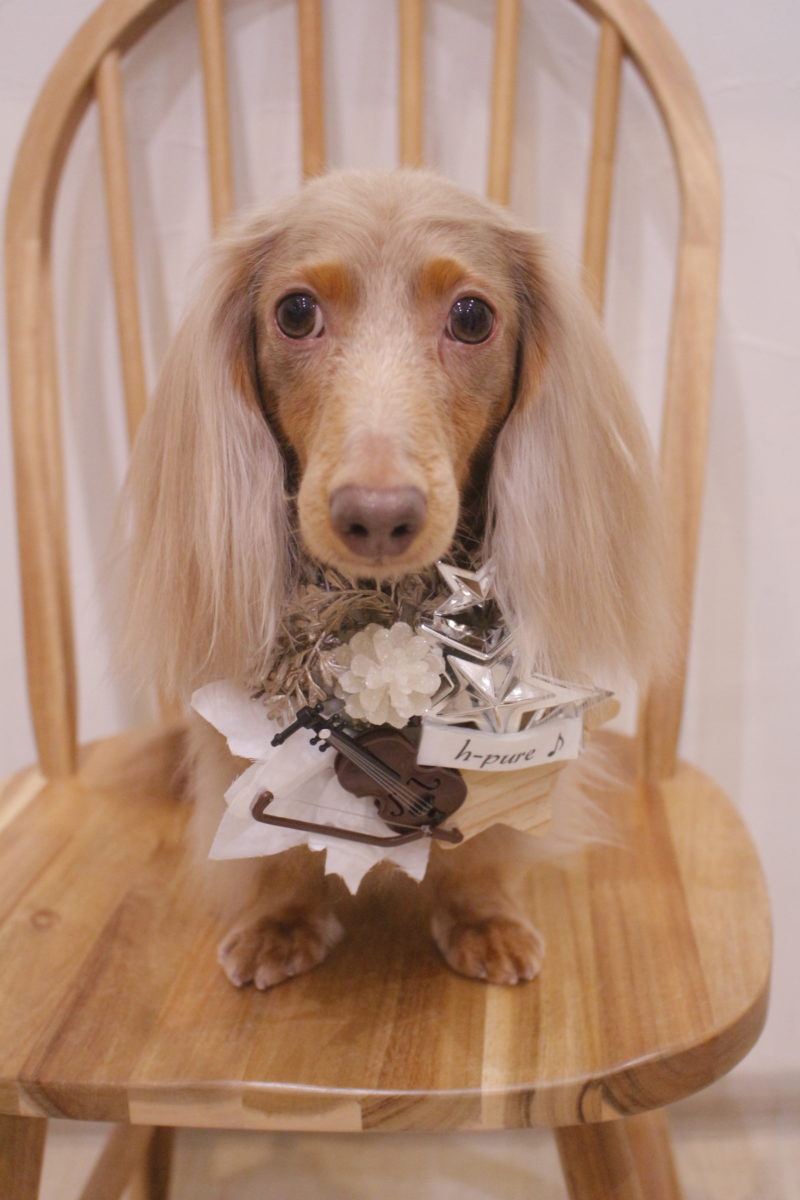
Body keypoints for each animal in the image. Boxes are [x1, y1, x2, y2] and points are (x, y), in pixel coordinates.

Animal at [124, 169, 669, 988]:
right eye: (295, 311)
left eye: (472, 317)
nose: (377, 517)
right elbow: (265, 827)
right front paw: (282, 918)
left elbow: (488, 829)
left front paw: (483, 914)